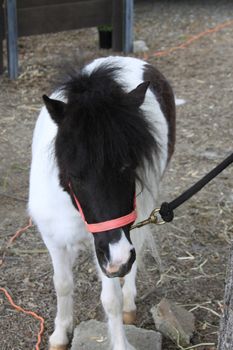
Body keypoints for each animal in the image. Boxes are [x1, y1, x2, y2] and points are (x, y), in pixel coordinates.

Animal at [28, 56, 176, 348]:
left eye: (128, 167)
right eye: (74, 174)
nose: (118, 259)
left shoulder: (108, 245)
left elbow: (111, 300)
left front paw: (120, 341)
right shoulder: (54, 238)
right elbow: (62, 284)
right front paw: (60, 334)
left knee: (137, 249)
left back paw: (130, 301)